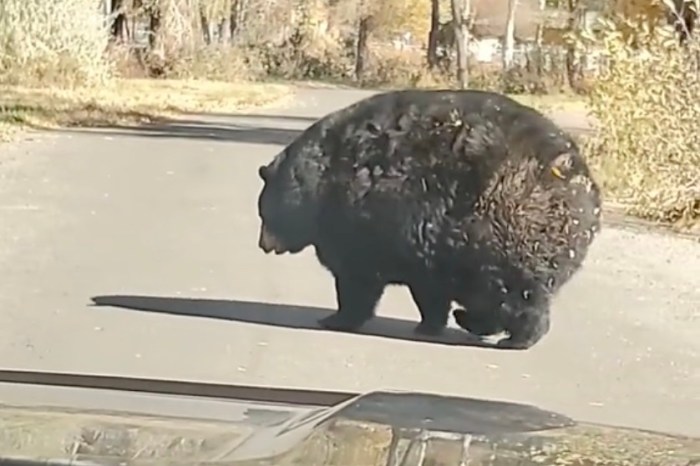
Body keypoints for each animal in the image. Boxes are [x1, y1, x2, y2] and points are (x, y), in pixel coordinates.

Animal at [256, 89, 601, 350]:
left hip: (504, 229)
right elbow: (429, 290)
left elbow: (357, 279)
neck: (315, 182)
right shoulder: (427, 249)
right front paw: (430, 323)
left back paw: (514, 337)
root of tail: (573, 174)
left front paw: (336, 318)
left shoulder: (362, 224)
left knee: (512, 292)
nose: (262, 244)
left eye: (263, 212)